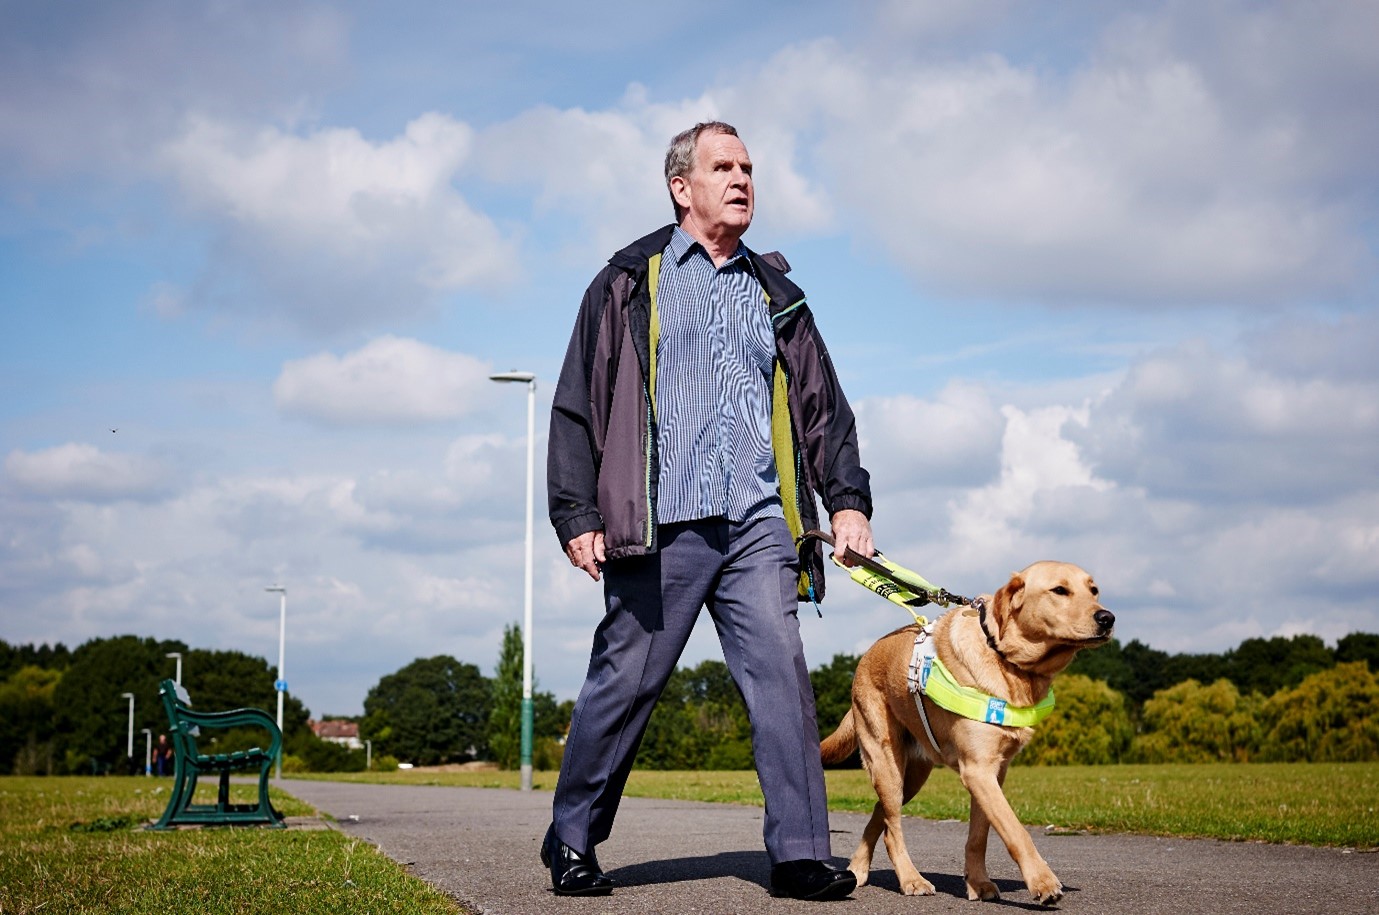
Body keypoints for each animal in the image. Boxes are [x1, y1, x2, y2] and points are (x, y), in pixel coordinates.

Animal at [816, 562, 1108, 903]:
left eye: (1094, 590)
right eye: (1059, 590)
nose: (1107, 618)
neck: (1007, 661)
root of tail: (863, 660)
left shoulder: (994, 772)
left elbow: (980, 834)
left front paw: (979, 883)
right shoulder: (978, 770)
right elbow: (1015, 830)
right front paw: (1043, 882)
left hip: (911, 776)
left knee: (882, 814)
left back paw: (858, 868)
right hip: (885, 760)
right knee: (892, 828)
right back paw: (911, 879)